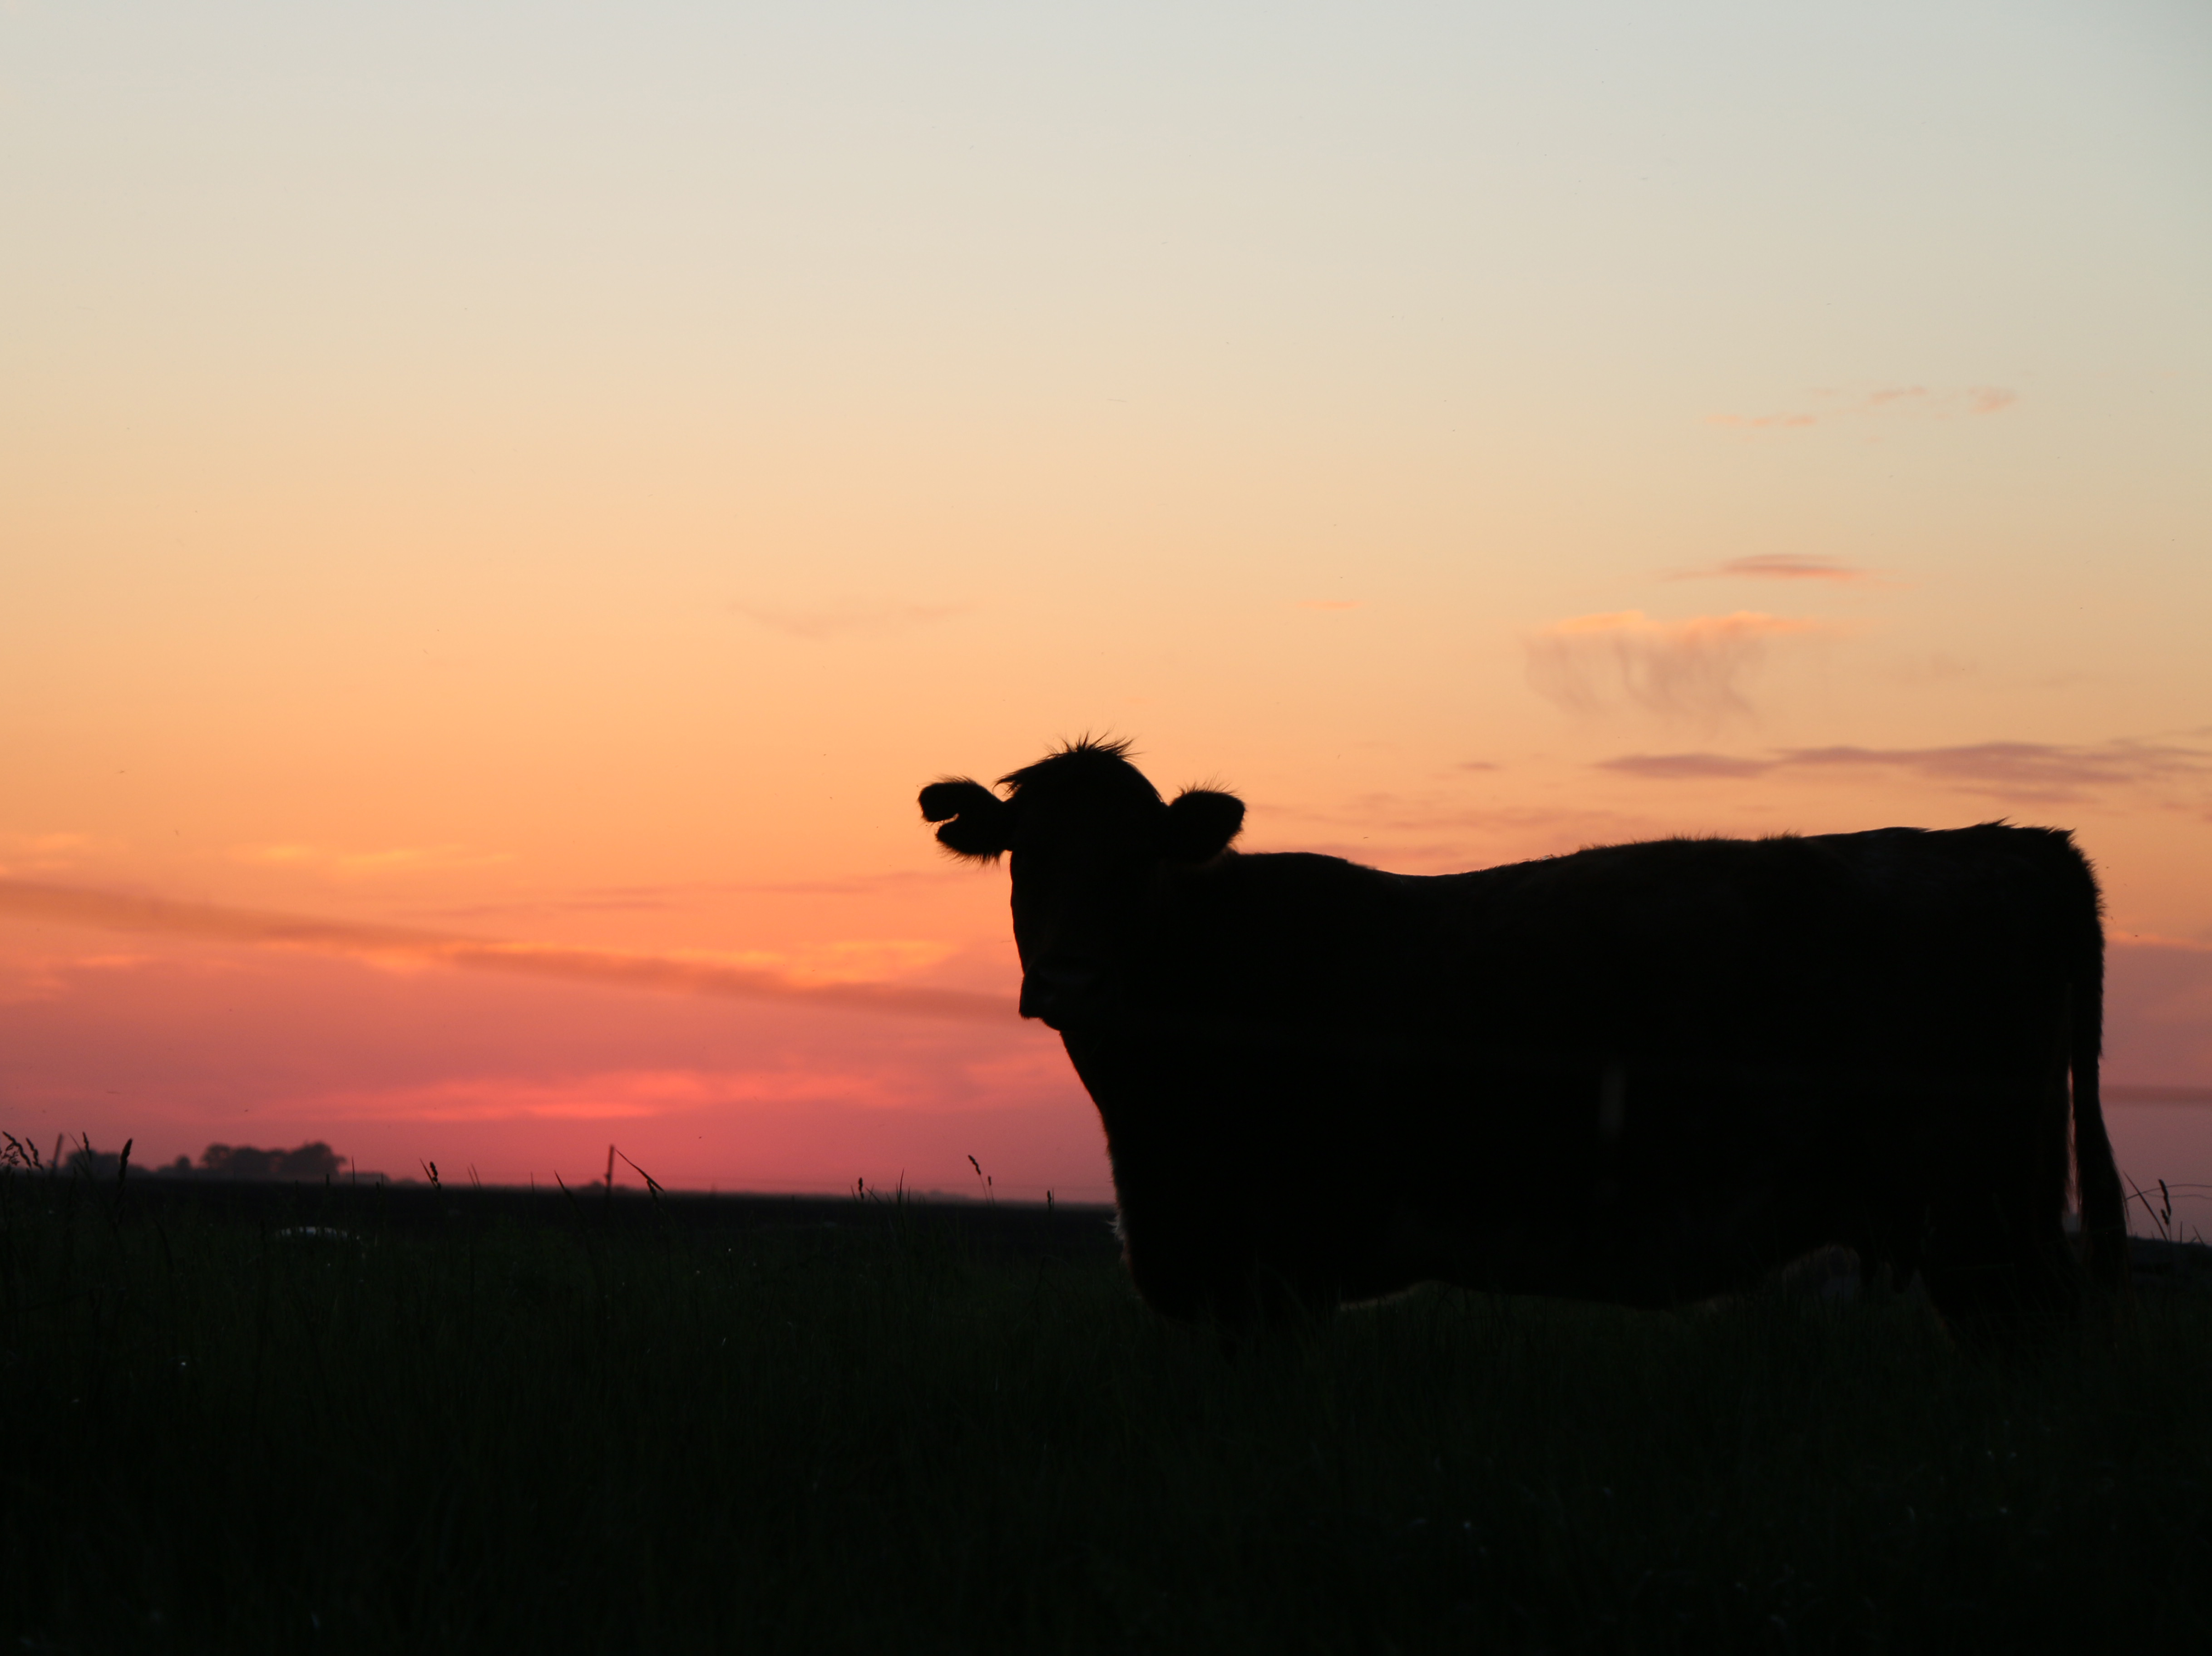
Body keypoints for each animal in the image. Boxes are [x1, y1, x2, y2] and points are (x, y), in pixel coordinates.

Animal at [919, 738, 2128, 1334]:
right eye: (1025, 855)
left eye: (1138, 863)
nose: (1069, 977)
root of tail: (2014, 843)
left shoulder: (1272, 1264)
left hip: (1982, 1216)